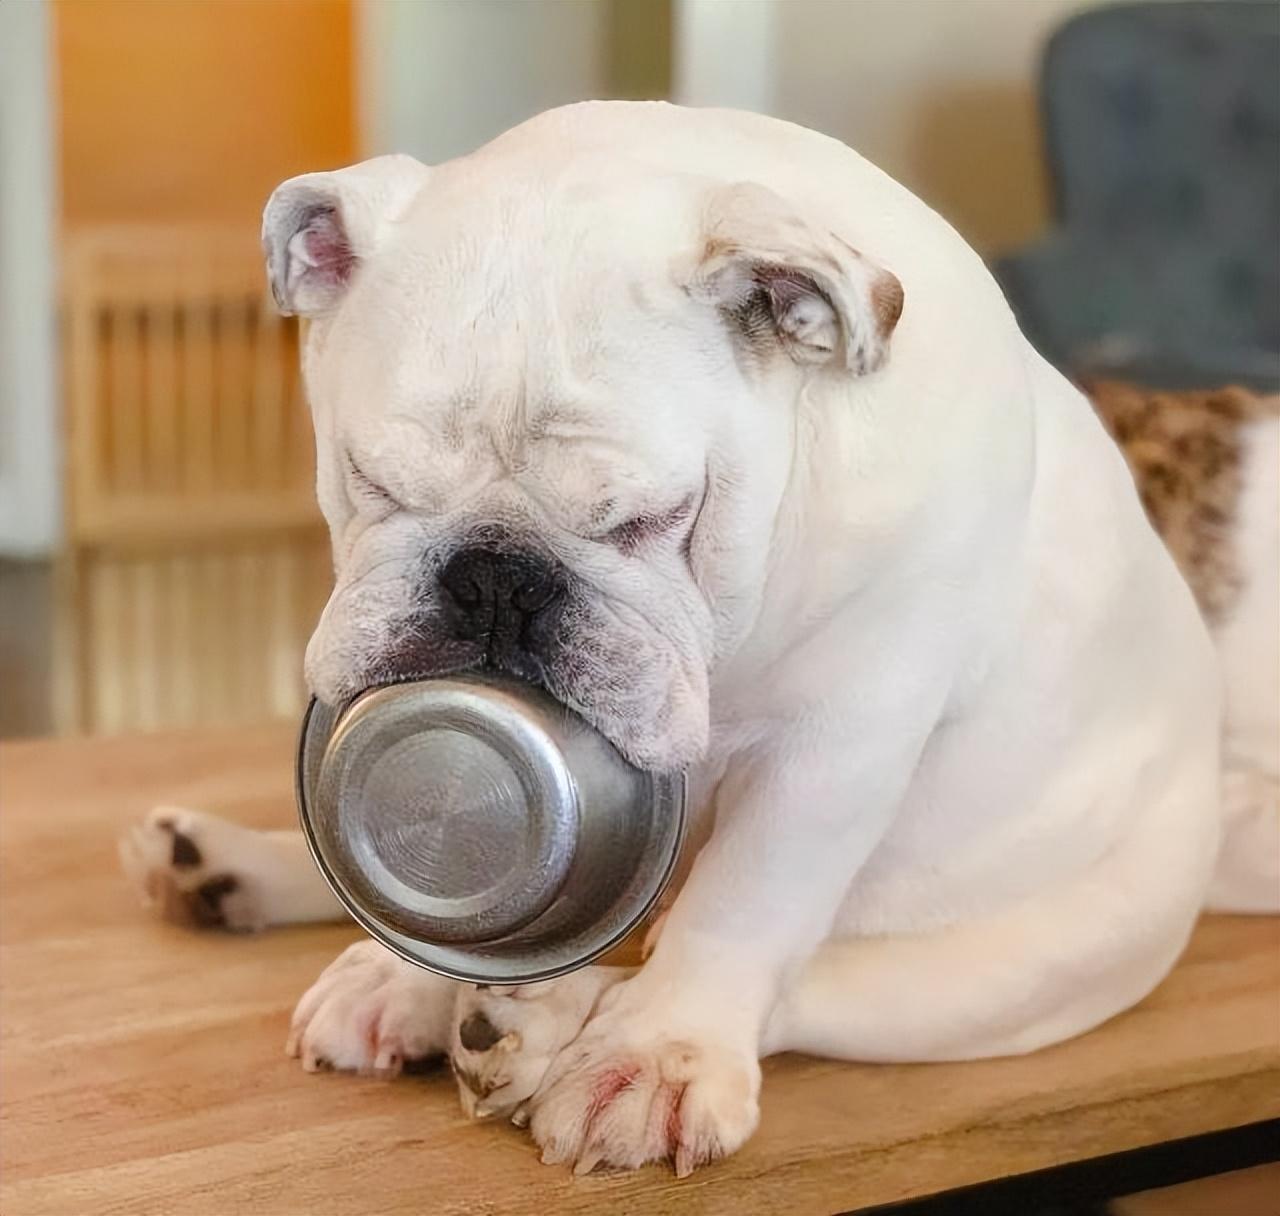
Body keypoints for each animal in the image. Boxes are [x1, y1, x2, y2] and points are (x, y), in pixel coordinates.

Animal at [119, 102, 1278, 1176]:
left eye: (650, 517)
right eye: (374, 481)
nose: (496, 574)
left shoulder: (834, 747)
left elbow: (743, 903)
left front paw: (655, 1059)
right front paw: (406, 971)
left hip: (1013, 971)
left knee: (784, 982)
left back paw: (539, 1031)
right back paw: (234, 875)